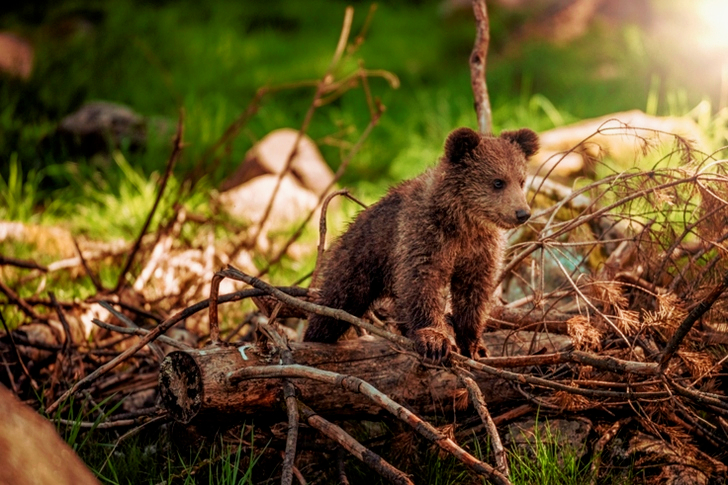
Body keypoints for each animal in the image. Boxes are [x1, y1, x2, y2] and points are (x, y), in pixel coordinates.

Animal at [304, 127, 539, 362]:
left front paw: (475, 346)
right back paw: (315, 337)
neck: (463, 223)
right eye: (498, 182)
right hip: (359, 260)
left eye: (521, 180)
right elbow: (422, 283)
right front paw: (434, 341)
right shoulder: (425, 236)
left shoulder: (480, 250)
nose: (522, 213)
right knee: (335, 304)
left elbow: (474, 293)